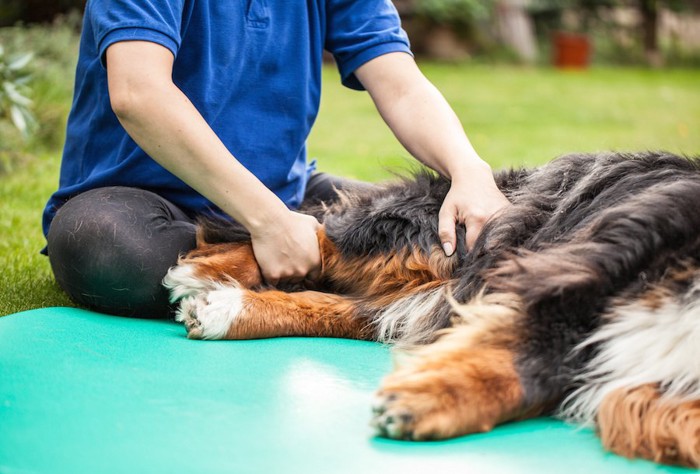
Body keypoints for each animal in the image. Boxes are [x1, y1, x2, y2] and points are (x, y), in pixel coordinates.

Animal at [163, 152, 700, 466]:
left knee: (350, 307)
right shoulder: (580, 271)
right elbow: (531, 359)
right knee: (317, 234)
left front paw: (431, 399)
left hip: (439, 289)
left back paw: (224, 308)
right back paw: (207, 271)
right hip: (447, 237)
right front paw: (428, 398)